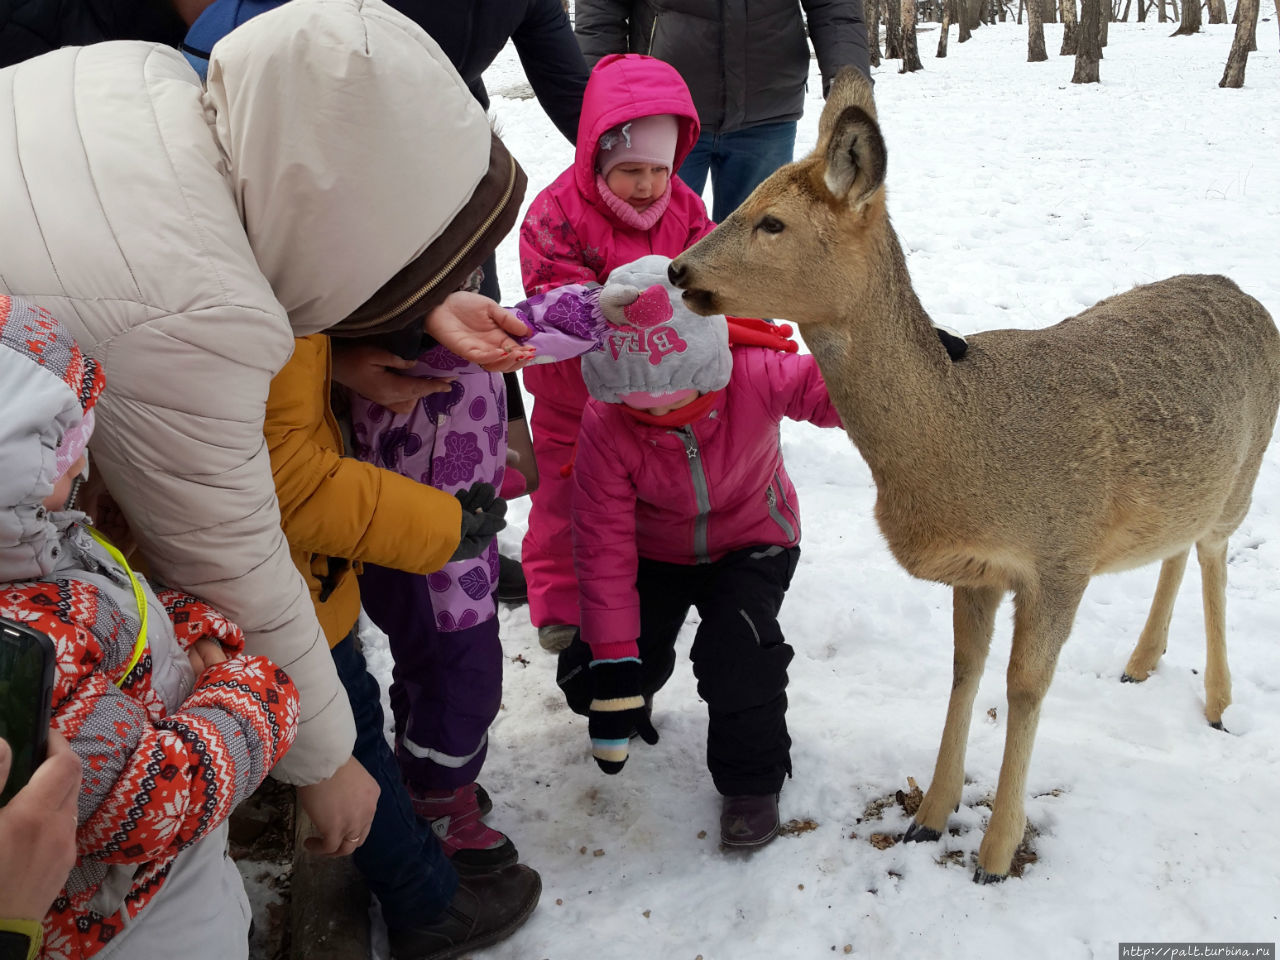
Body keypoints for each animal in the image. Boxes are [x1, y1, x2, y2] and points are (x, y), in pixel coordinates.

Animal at [670, 67, 1280, 885]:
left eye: (772, 223)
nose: (677, 268)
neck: (965, 445)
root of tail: (1250, 298)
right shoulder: (980, 570)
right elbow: (964, 668)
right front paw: (929, 814)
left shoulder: (1061, 553)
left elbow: (1024, 685)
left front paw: (995, 852)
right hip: (1186, 486)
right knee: (1176, 545)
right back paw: (1141, 661)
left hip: (1247, 470)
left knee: (1214, 551)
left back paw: (1217, 700)